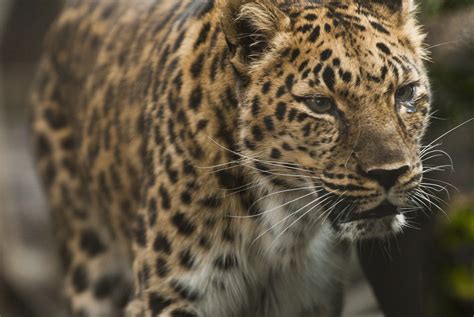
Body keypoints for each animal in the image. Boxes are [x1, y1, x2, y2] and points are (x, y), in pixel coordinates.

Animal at [29, 0, 430, 316]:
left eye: (405, 93)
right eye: (320, 104)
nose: (390, 173)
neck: (284, 223)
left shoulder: (310, 296)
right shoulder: (170, 295)